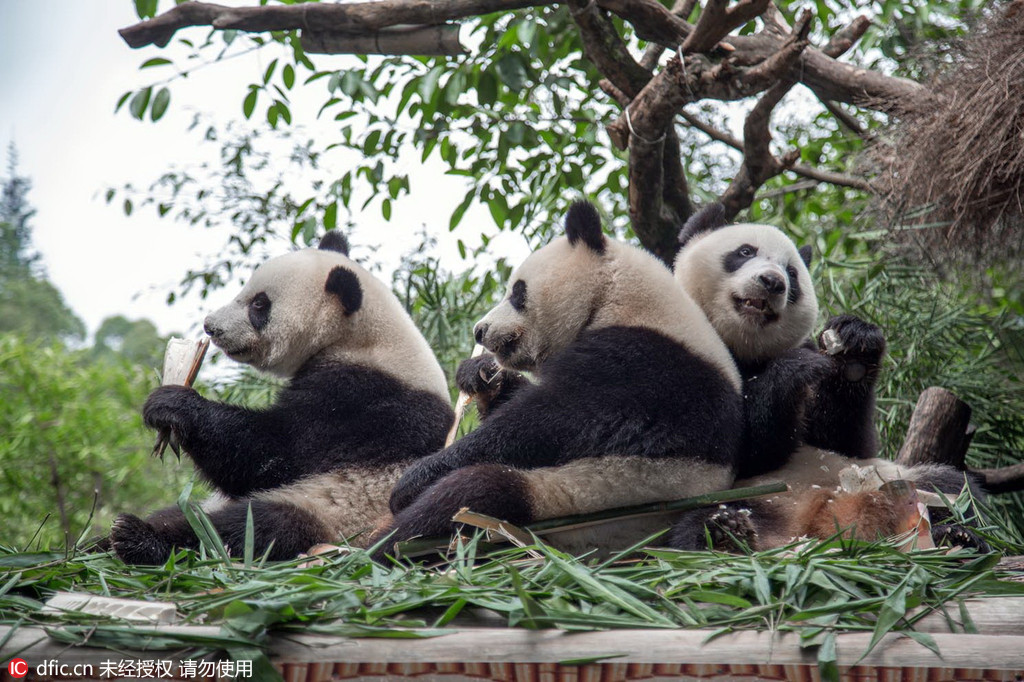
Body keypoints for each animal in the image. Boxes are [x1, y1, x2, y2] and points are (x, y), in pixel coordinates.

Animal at [107, 232, 452, 561]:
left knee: (249, 528)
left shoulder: (362, 400)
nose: (211, 327)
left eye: (260, 304)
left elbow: (273, 453)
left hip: (338, 515)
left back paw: (139, 537)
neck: (360, 336)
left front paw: (171, 404)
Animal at [368, 199, 745, 557]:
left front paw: (413, 480)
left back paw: (384, 548)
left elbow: (550, 422)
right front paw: (480, 374)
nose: (480, 330)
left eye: (517, 292)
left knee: (472, 494)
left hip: (581, 501)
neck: (619, 298)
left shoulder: (644, 365)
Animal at [663, 205, 983, 552]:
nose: (772, 281)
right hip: (752, 500)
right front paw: (793, 370)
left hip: (887, 478)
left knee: (955, 490)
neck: (743, 347)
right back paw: (724, 533)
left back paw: (957, 535)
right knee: (689, 529)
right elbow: (741, 450)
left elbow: (845, 440)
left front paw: (854, 346)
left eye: (791, 273)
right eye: (745, 251)